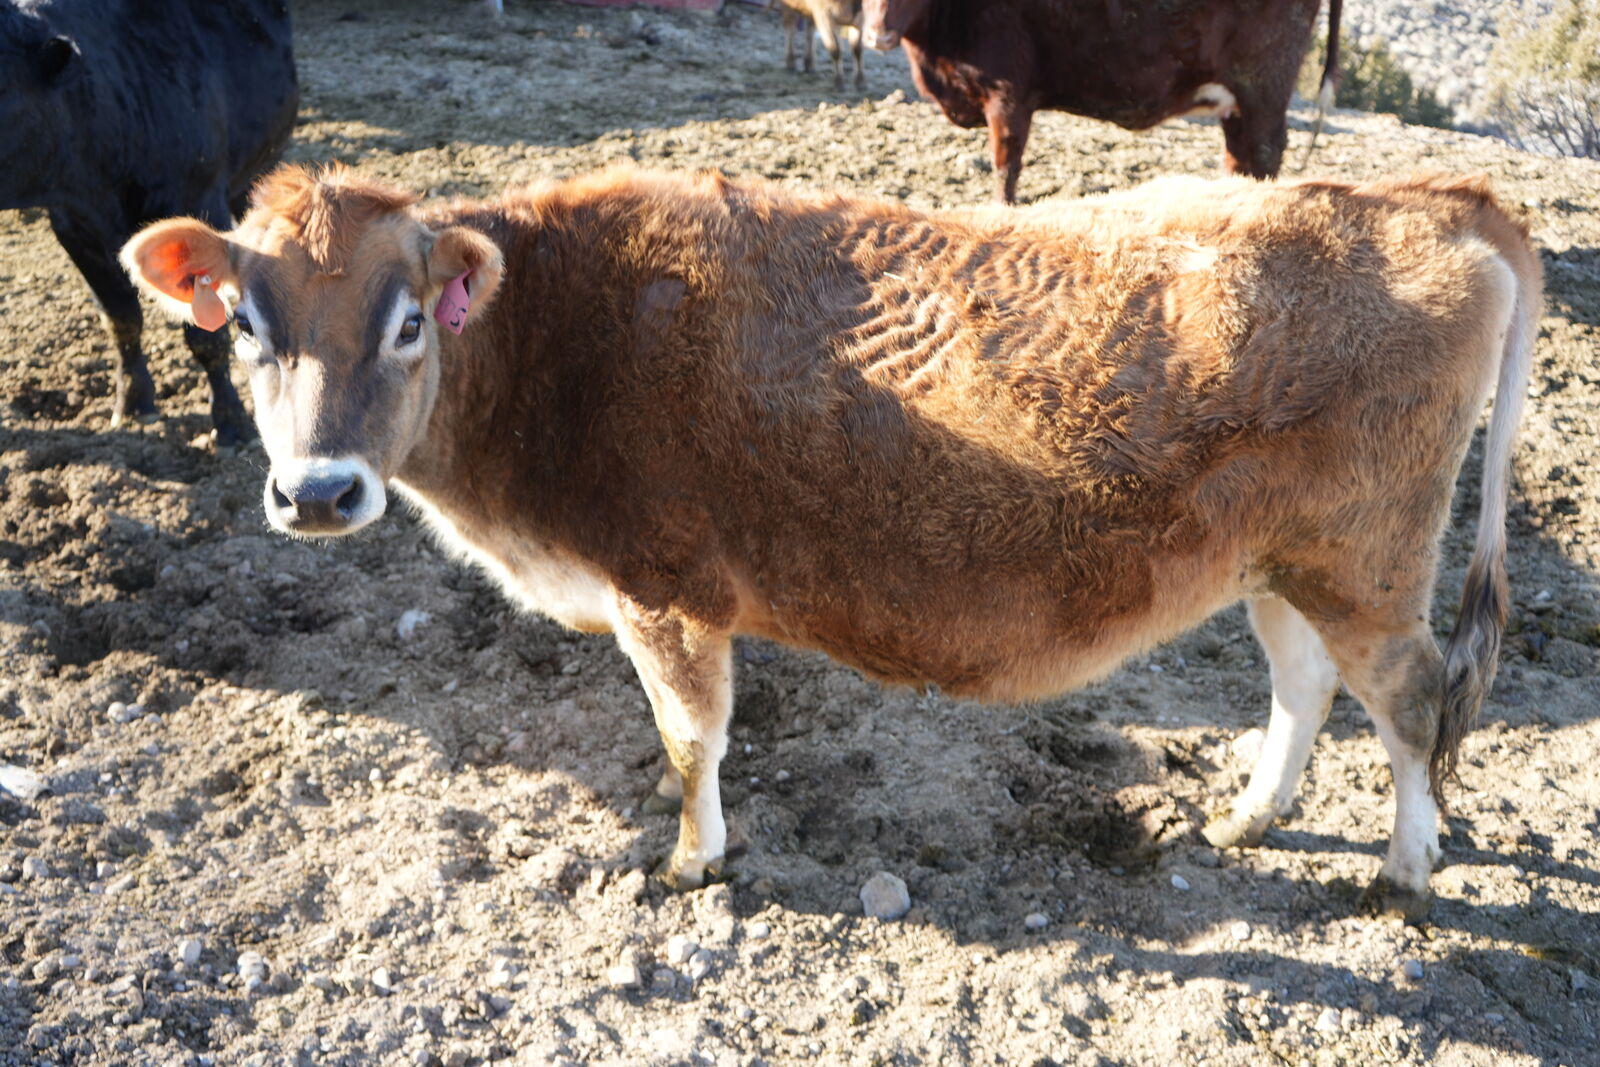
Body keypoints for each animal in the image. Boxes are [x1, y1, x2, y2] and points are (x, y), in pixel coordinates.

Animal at [0, 0, 297, 445]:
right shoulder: (74, 227)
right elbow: (121, 319)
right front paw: (133, 402)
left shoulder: (200, 203)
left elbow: (205, 335)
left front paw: (230, 421)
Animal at [121, 163, 1537, 921]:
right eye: (245, 323)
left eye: (410, 320)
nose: (317, 491)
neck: (562, 333)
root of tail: (1421, 196)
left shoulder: (667, 586)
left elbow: (692, 735)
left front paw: (691, 856)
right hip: (1283, 560)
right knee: (1305, 683)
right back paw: (1252, 812)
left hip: (1368, 562)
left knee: (1412, 700)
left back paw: (1406, 869)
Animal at [861, 0, 1343, 203]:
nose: (877, 33)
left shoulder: (1008, 95)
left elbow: (1005, 164)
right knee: (1240, 156)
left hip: (1262, 87)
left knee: (1265, 150)